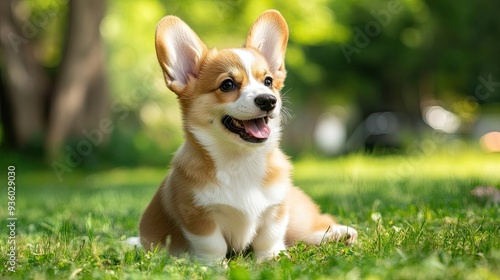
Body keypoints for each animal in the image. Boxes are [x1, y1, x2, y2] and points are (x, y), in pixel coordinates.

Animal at [139, 9, 358, 262]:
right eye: (227, 84)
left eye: (268, 81)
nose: (268, 100)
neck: (240, 159)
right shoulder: (198, 215)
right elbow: (212, 244)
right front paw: (214, 265)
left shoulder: (276, 208)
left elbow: (270, 237)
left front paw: (271, 258)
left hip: (299, 219)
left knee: (316, 225)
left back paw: (341, 233)